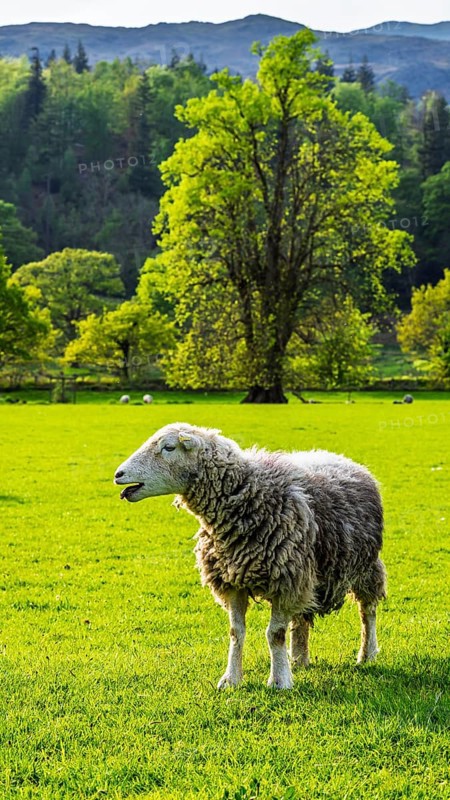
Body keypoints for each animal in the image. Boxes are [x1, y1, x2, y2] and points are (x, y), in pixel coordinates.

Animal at [114, 423, 386, 689]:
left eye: (168, 447)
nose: (118, 474)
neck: (247, 495)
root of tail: (342, 459)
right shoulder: (233, 580)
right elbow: (236, 631)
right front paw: (231, 679)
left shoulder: (284, 581)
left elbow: (274, 634)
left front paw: (279, 681)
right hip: (307, 571)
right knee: (301, 618)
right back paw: (298, 658)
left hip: (363, 565)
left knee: (367, 610)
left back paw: (366, 654)